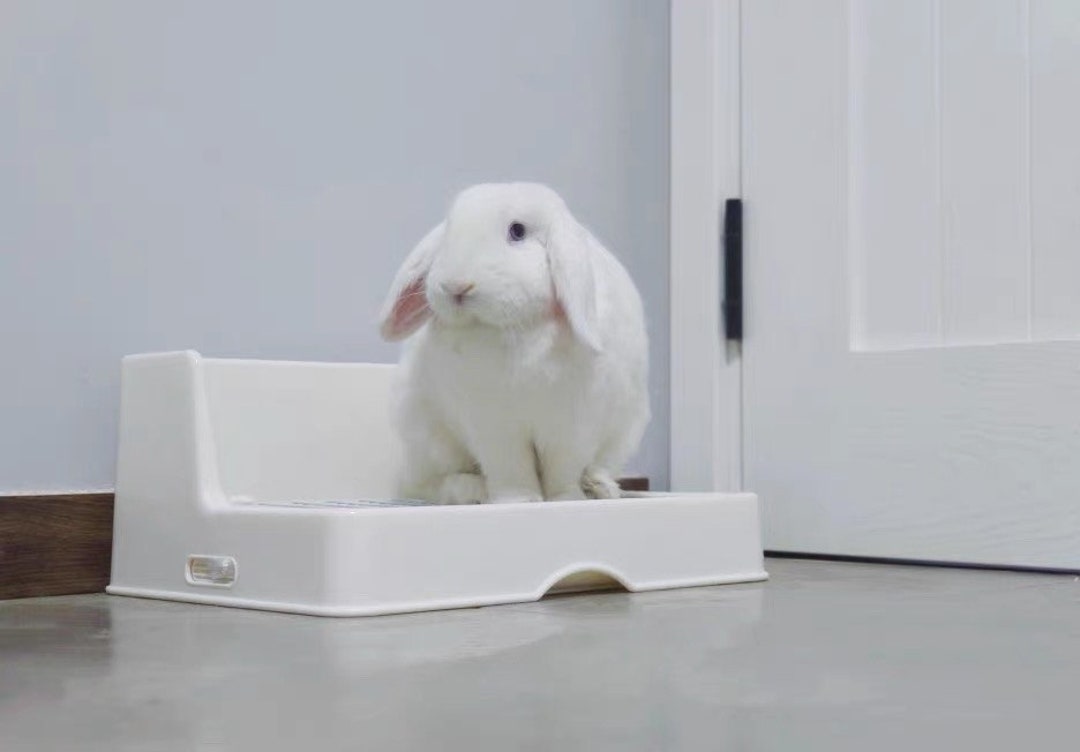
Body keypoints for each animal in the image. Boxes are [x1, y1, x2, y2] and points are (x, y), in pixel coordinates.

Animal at [378, 182, 649, 504]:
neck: (512, 330)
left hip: (625, 432)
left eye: (517, 231)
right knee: (432, 483)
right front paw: (520, 500)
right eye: (449, 231)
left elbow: (563, 470)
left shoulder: (573, 426)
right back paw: (471, 489)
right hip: (427, 439)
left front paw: (565, 499)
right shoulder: (494, 428)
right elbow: (510, 469)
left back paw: (599, 488)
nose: (456, 286)